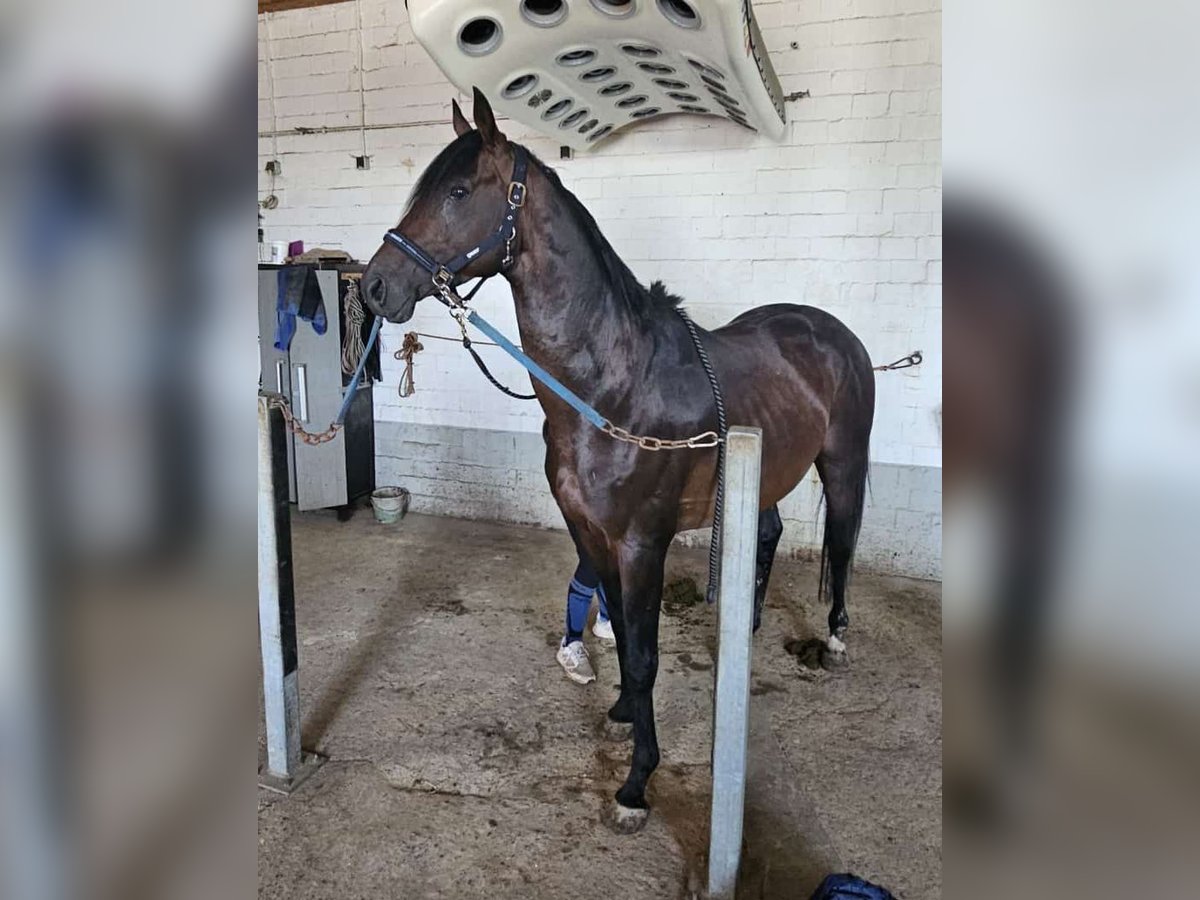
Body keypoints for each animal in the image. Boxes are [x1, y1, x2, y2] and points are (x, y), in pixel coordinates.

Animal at [360, 90, 878, 830]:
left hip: (843, 467)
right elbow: (621, 635)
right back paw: (745, 625)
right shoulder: (590, 532)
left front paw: (637, 784)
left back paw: (834, 639)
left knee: (843, 542)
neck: (612, 388)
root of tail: (833, 332)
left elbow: (645, 654)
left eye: (457, 191)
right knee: (770, 534)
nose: (374, 287)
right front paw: (624, 714)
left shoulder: (642, 544)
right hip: (766, 472)